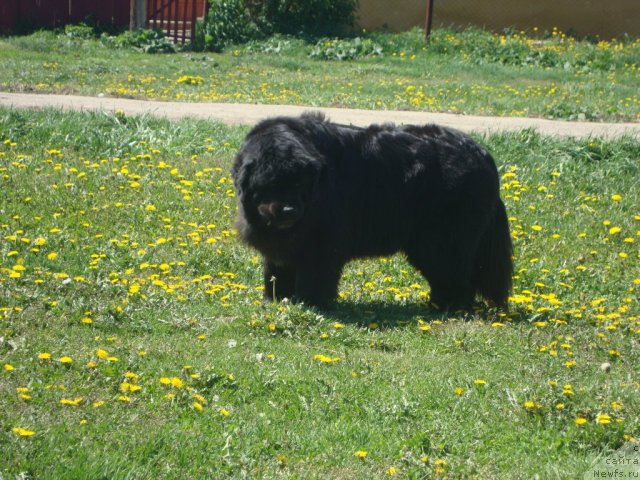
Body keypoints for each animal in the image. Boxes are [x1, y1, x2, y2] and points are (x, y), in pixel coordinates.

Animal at [232, 114, 512, 312]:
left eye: (299, 184)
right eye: (272, 182)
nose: (290, 210)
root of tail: (484, 156)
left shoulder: (322, 242)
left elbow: (315, 274)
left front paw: (310, 303)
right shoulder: (281, 247)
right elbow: (276, 272)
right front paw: (275, 300)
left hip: (441, 240)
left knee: (454, 273)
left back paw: (446, 307)